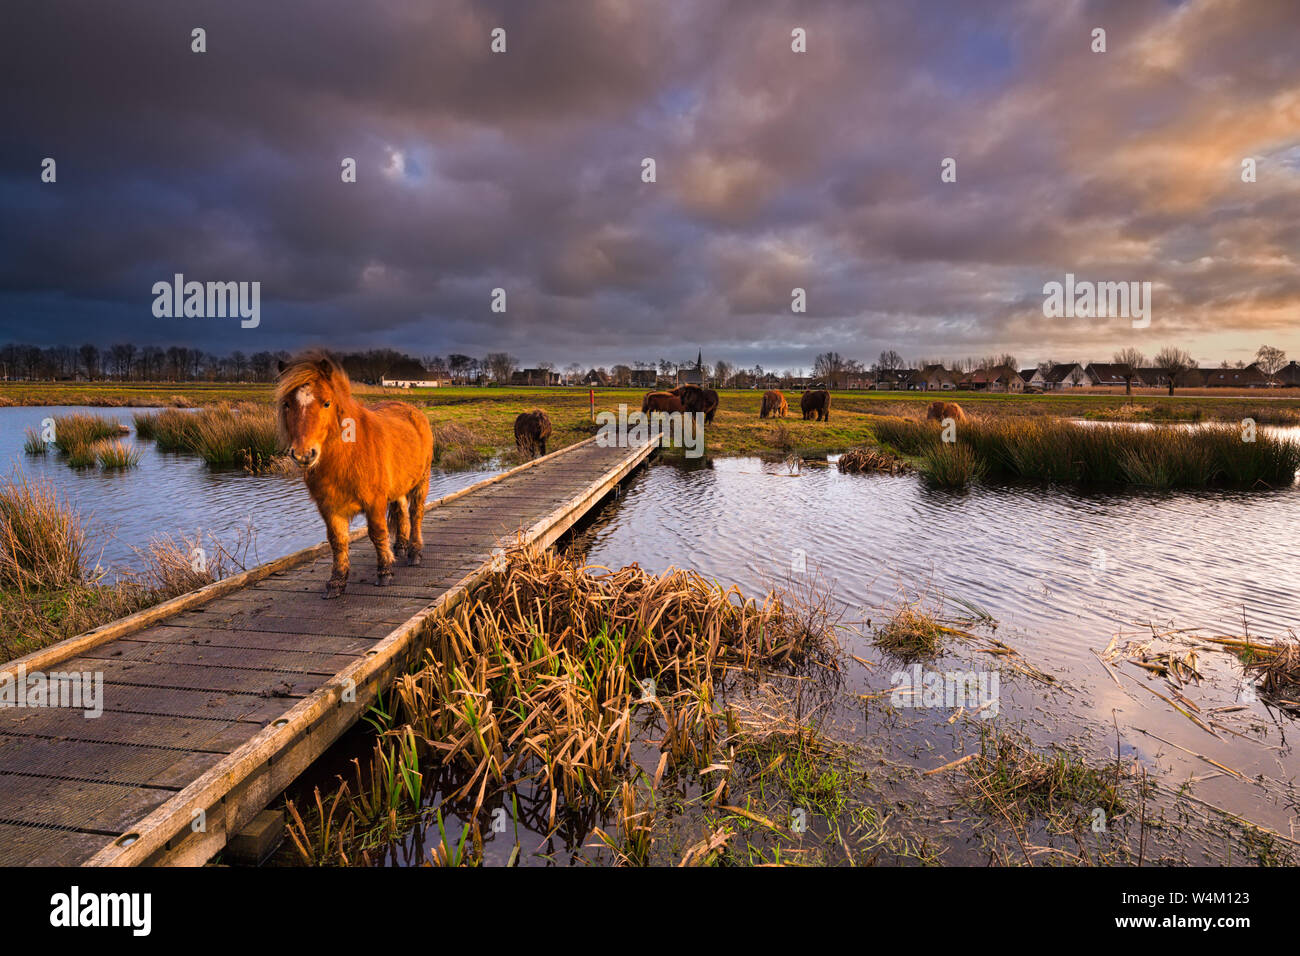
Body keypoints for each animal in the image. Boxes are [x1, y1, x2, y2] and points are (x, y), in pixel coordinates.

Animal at [276, 356, 434, 598]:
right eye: (286, 404)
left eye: (326, 403)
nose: (304, 454)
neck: (347, 455)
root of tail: (413, 411)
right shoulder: (329, 507)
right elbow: (337, 541)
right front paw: (336, 581)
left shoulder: (374, 502)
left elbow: (377, 533)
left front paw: (384, 572)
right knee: (401, 512)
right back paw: (400, 546)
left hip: (421, 481)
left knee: (416, 513)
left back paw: (414, 552)